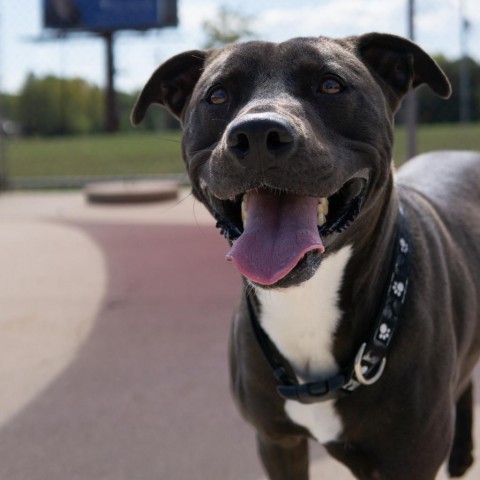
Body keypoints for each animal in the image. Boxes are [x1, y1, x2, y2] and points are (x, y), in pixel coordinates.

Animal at [131, 33, 480, 480]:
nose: (257, 134)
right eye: (217, 95)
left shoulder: (409, 460)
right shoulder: (277, 442)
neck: (306, 303)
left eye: (330, 85)